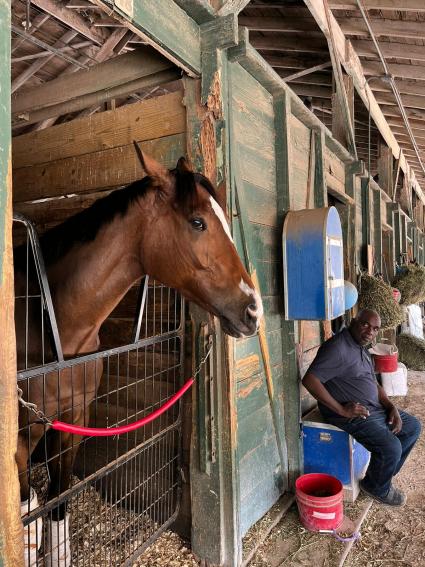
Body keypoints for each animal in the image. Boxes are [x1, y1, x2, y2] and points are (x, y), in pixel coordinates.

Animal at [14, 148, 262, 567]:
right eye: (198, 222)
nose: (253, 311)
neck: (52, 326)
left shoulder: (73, 418)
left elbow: (58, 501)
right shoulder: (19, 435)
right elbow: (25, 511)